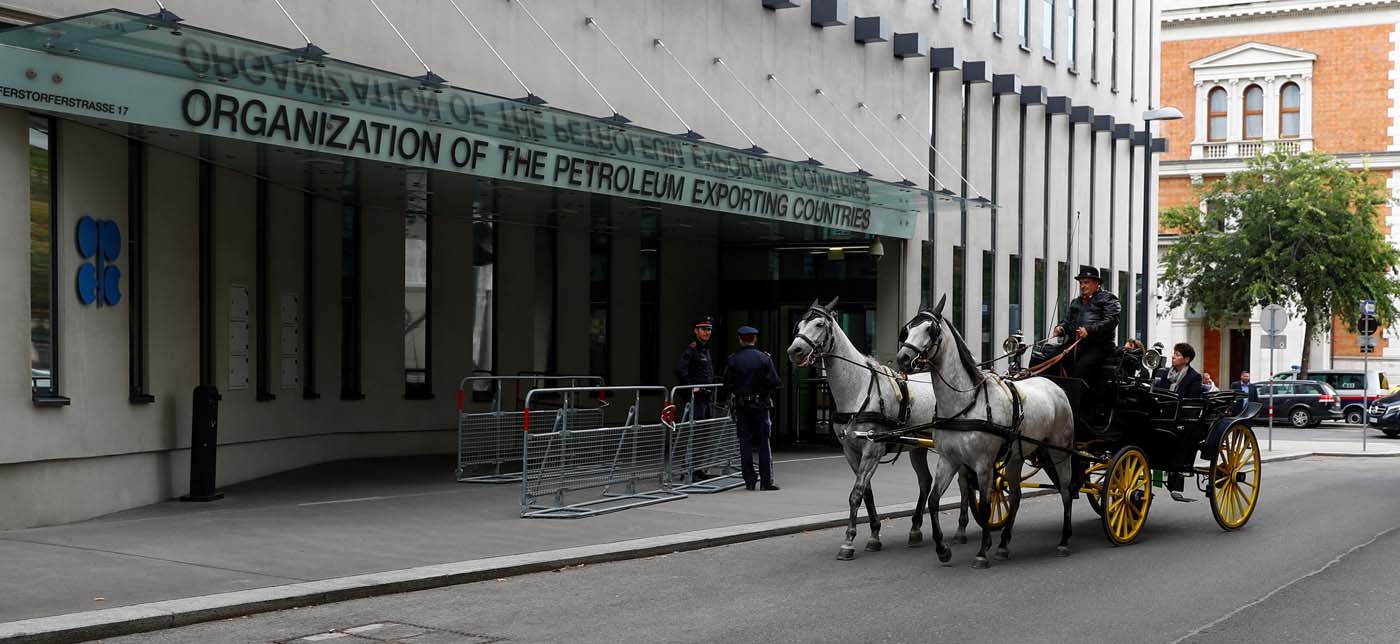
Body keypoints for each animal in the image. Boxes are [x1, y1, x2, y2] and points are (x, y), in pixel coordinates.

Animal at [789, 296, 974, 557]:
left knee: (964, 482)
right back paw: (915, 529)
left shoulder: (872, 450)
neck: (858, 388)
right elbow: (866, 493)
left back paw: (961, 529)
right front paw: (874, 534)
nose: (794, 350)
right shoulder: (851, 451)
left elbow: (856, 493)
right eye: (799, 325)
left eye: (819, 324)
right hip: (918, 448)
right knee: (926, 482)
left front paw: (848, 541)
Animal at [890, 296, 1075, 568]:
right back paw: (1004, 544)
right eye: (908, 329)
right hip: (1016, 456)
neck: (966, 403)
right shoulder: (949, 460)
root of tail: (1054, 385)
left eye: (930, 329)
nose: (903, 357)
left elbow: (987, 506)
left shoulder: (984, 463)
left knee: (1066, 491)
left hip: (1060, 453)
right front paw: (943, 549)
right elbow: (933, 501)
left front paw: (981, 552)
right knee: (1016, 496)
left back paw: (1063, 540)